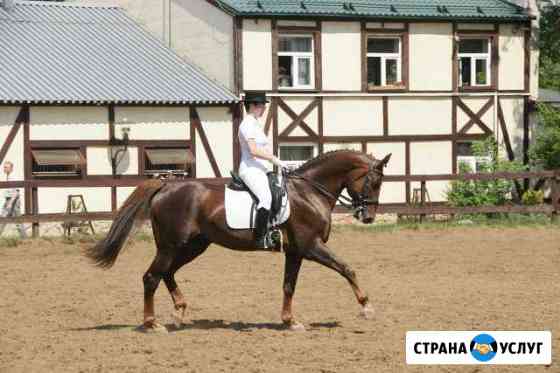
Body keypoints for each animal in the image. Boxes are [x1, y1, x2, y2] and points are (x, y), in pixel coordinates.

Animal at [87, 149, 392, 332]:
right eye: (374, 182)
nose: (368, 217)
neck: (309, 192)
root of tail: (166, 184)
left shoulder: (294, 252)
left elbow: (289, 286)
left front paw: (290, 321)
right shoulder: (311, 246)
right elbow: (347, 268)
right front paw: (366, 307)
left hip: (193, 246)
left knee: (167, 273)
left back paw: (179, 312)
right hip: (172, 246)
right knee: (151, 277)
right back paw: (152, 323)